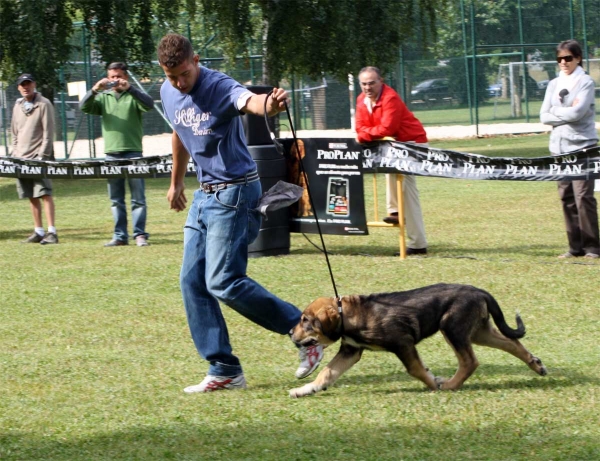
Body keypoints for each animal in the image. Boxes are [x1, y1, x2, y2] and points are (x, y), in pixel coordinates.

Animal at [288, 282, 548, 398]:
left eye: (305, 321)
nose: (290, 333)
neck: (347, 315)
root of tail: (479, 291)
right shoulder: (351, 350)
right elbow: (327, 373)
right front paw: (305, 389)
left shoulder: (402, 343)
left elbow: (415, 369)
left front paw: (433, 383)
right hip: (478, 331)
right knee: (511, 342)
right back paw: (536, 365)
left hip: (452, 327)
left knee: (470, 361)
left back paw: (450, 385)